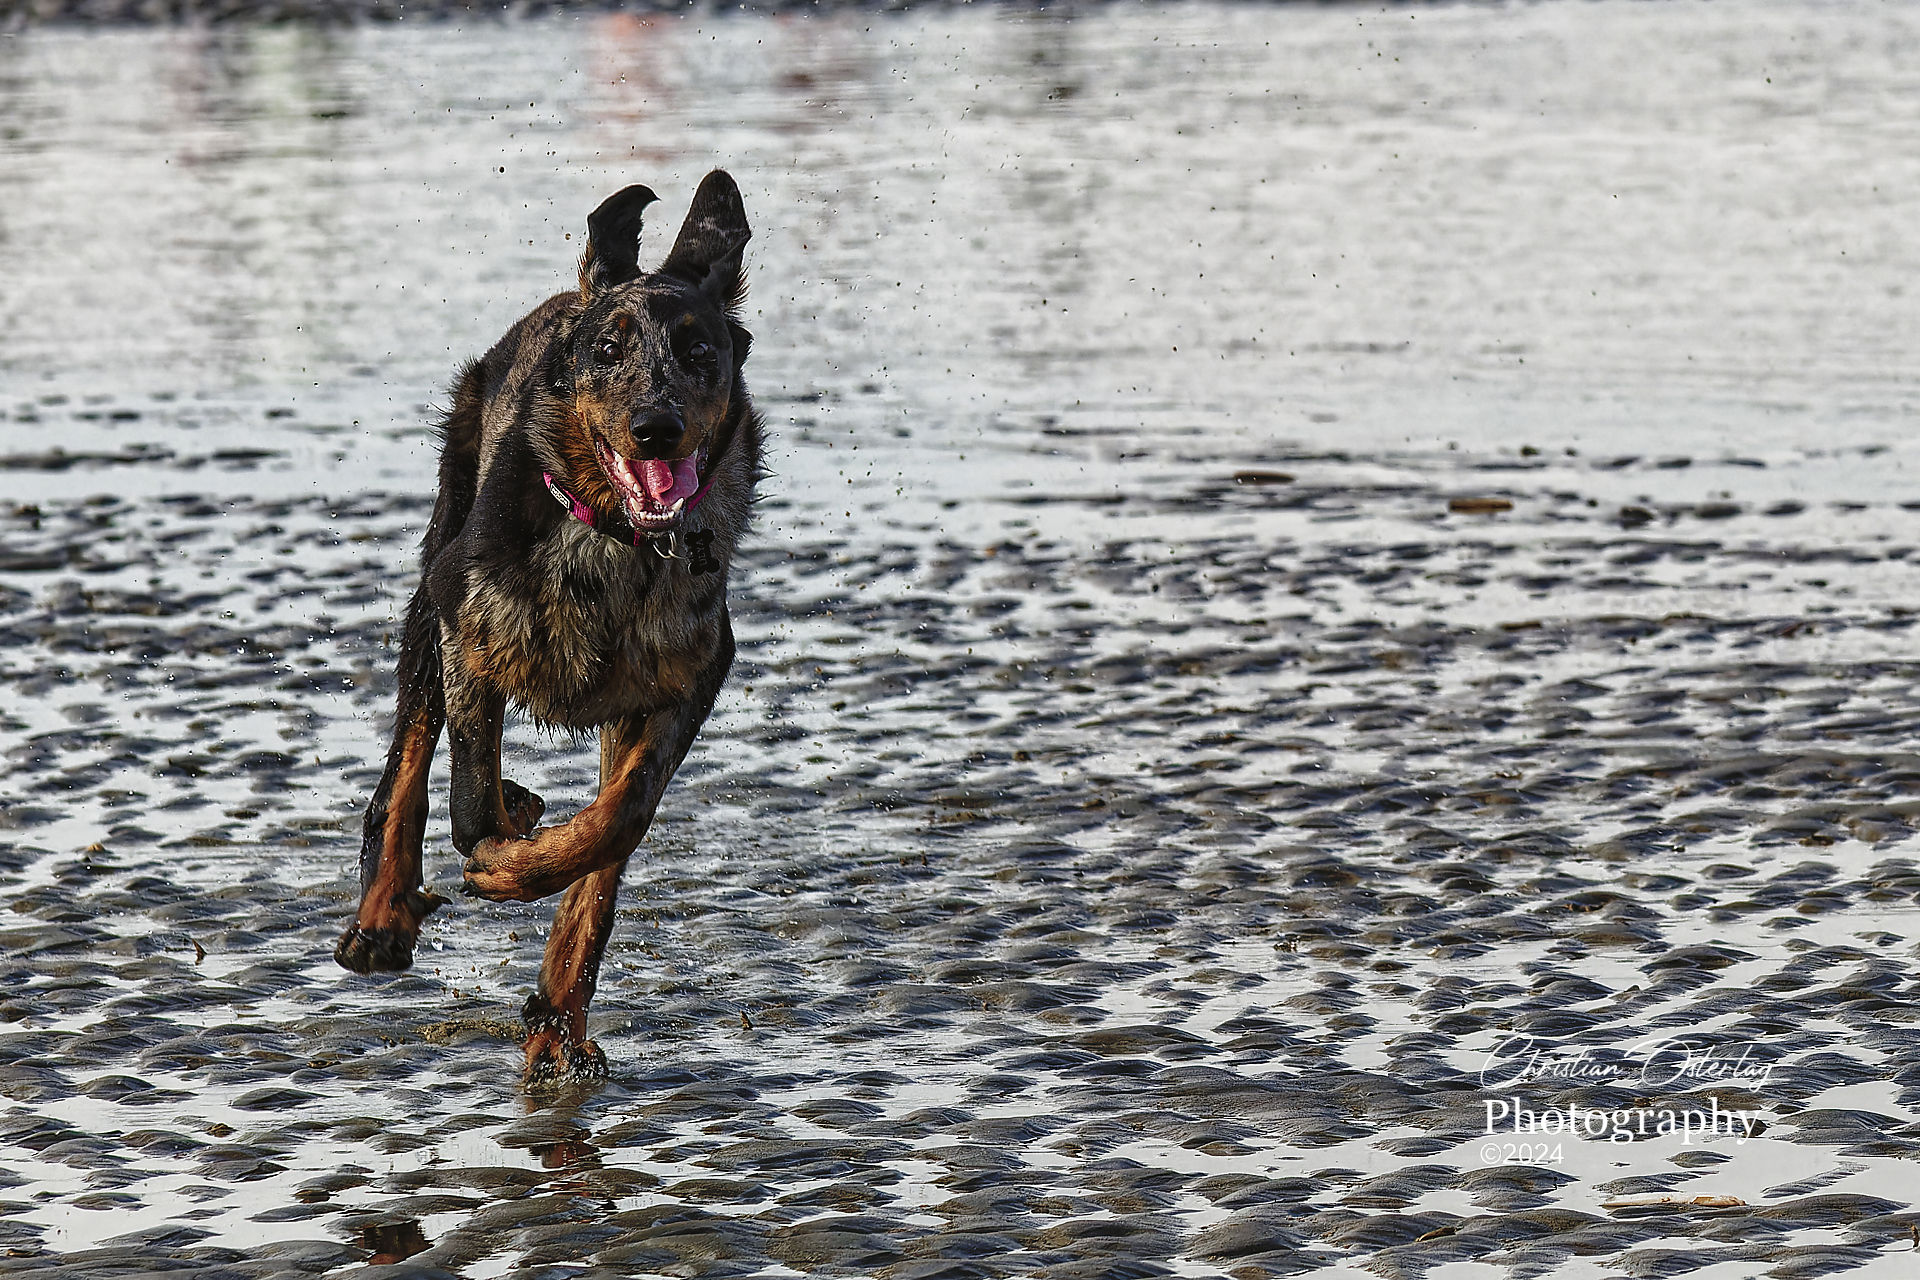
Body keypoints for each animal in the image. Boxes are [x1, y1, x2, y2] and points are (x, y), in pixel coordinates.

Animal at [334, 171, 761, 1083]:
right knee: (407, 757)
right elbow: (467, 799)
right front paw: (498, 854)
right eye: (607, 352)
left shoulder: (684, 681)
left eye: (698, 352)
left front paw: (556, 1005)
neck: (613, 538)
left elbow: (614, 826)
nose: (657, 428)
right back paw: (383, 912)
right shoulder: (466, 623)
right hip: (437, 569)